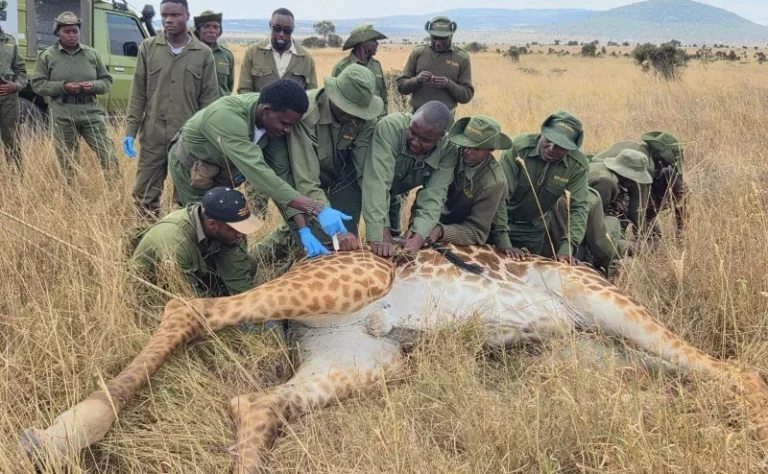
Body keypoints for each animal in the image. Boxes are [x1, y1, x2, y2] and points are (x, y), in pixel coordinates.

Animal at [19, 244, 768, 473]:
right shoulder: (598, 300)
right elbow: (739, 373)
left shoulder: (589, 359)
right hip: (357, 281)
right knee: (187, 309)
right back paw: (61, 434)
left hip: (363, 358)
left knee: (254, 403)